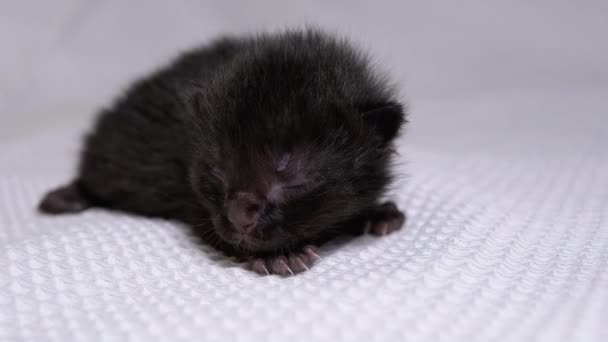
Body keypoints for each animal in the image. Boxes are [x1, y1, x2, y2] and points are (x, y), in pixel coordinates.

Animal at [39, 28, 408, 276]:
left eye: (290, 175)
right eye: (218, 170)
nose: (238, 215)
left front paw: (376, 212)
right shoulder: (194, 203)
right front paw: (279, 256)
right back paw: (68, 196)